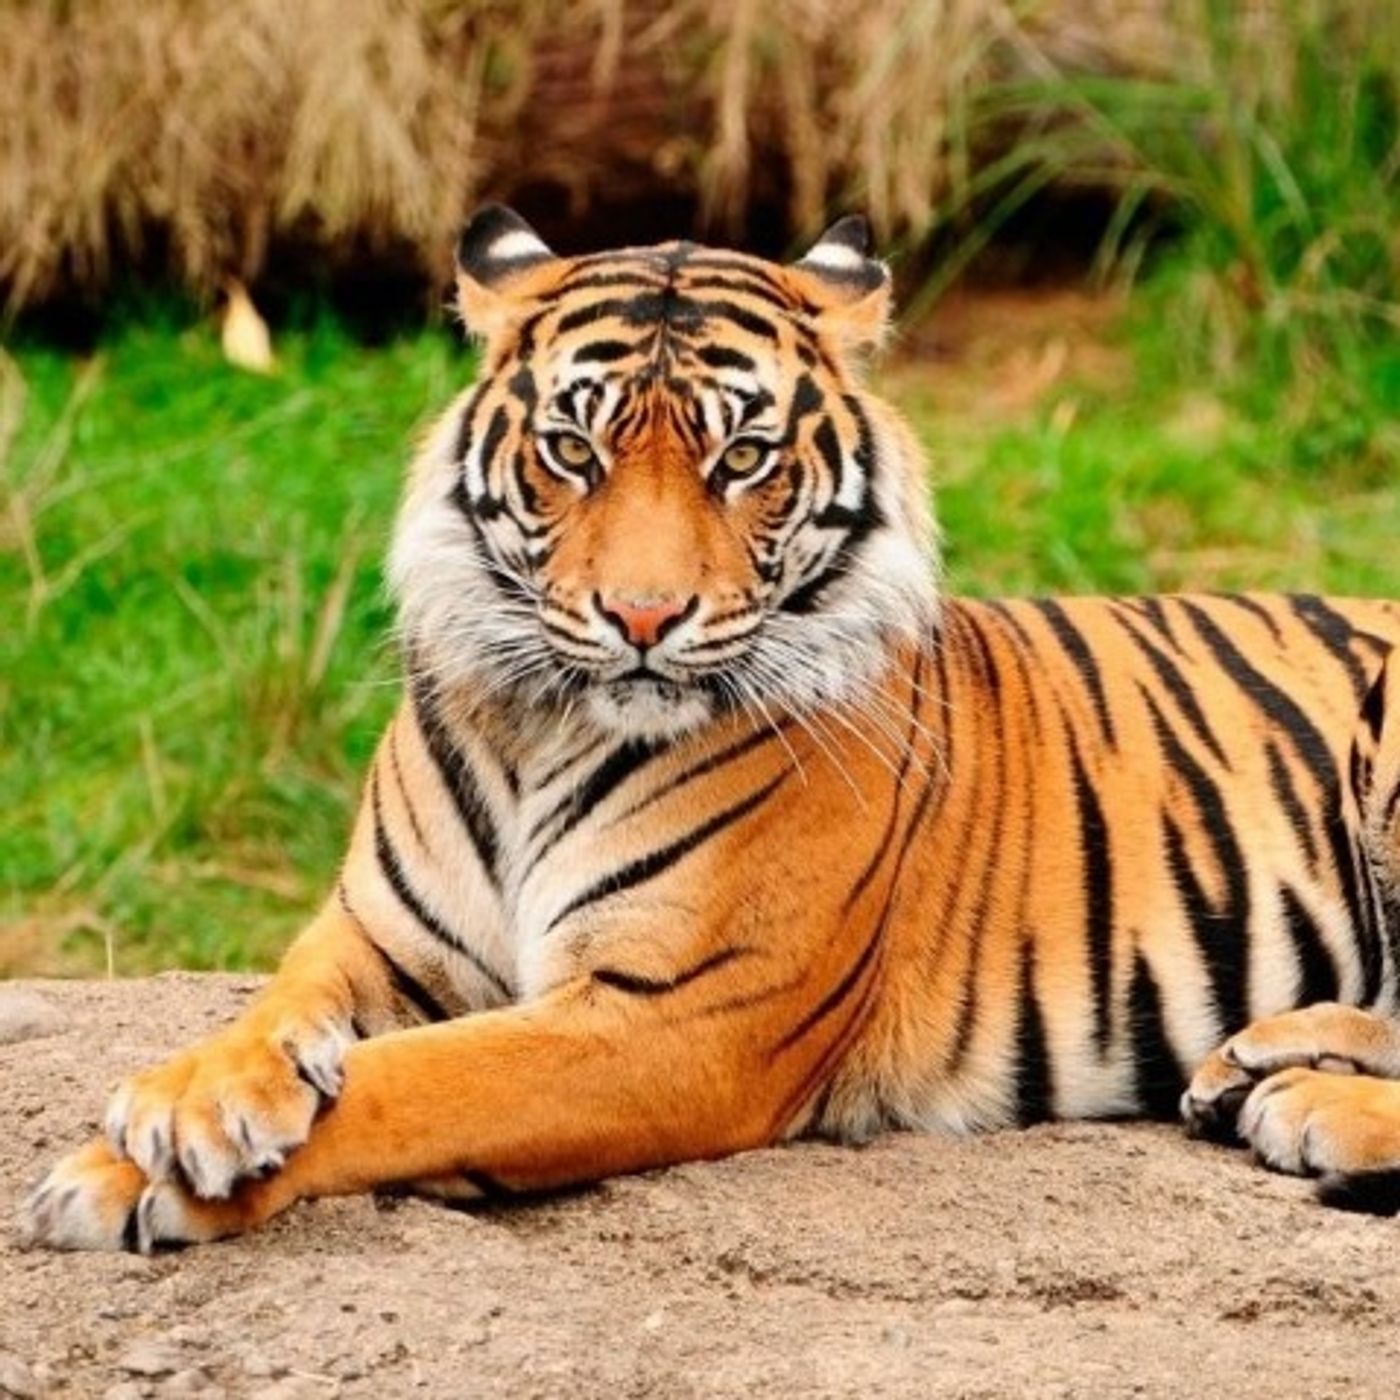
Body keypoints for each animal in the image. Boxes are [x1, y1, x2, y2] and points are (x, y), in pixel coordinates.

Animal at [19, 205, 1400, 1252]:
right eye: (572, 449)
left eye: (742, 459)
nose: (641, 616)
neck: (538, 729)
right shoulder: (378, 934)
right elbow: (275, 1007)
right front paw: (195, 1099)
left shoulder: (670, 1017)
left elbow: (414, 1083)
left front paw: (125, 1174)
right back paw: (1258, 1062)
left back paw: (1306, 1110)